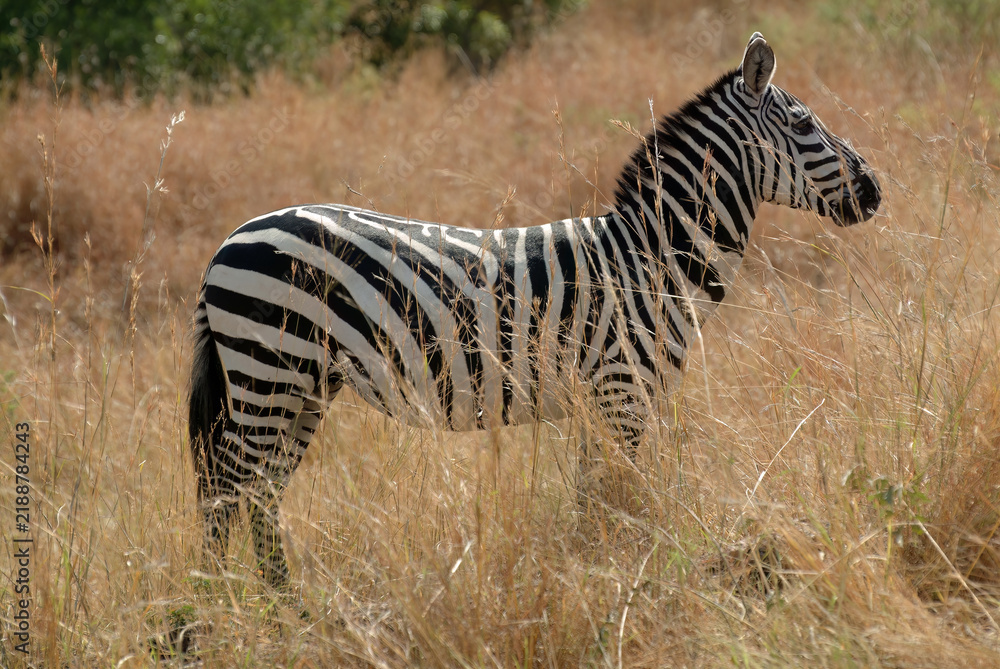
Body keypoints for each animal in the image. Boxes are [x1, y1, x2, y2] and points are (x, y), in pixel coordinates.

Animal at [189, 32, 881, 588]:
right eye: (805, 125)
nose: (876, 190)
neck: (650, 256)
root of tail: (228, 240)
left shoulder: (602, 401)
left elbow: (596, 500)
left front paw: (596, 574)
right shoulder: (622, 392)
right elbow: (622, 501)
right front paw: (626, 581)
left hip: (301, 387)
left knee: (256, 497)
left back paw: (282, 611)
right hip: (268, 371)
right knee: (227, 492)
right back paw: (222, 612)